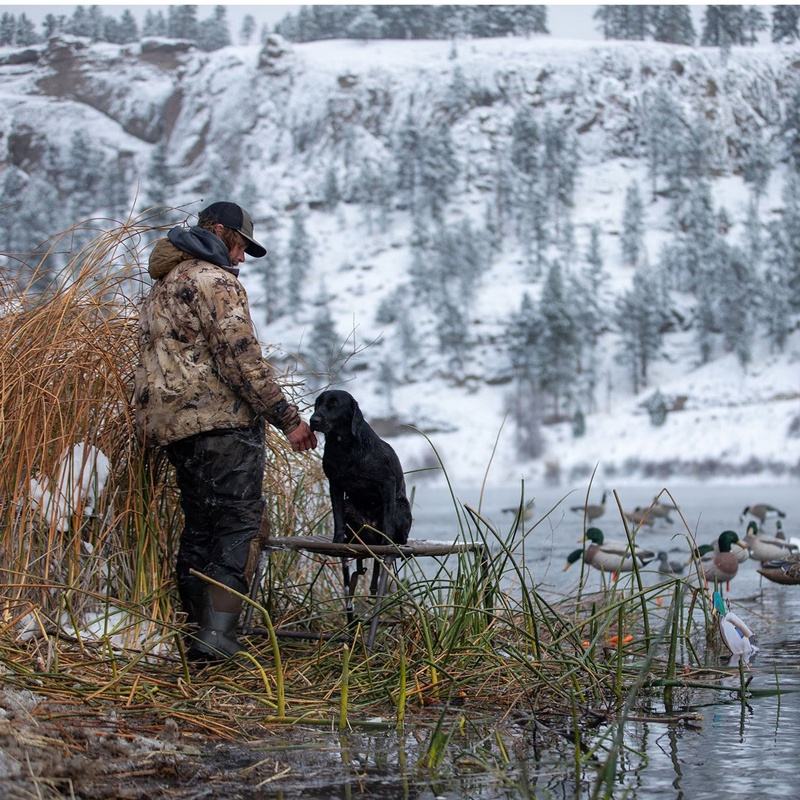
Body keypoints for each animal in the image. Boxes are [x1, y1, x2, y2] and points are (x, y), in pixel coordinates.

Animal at [309, 390, 412, 547]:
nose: (313, 420)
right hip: (348, 505)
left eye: (334, 404)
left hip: (400, 506)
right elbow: (338, 518)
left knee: (399, 533)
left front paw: (386, 542)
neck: (344, 448)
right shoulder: (335, 485)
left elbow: (388, 519)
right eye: (318, 404)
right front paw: (337, 540)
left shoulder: (388, 482)